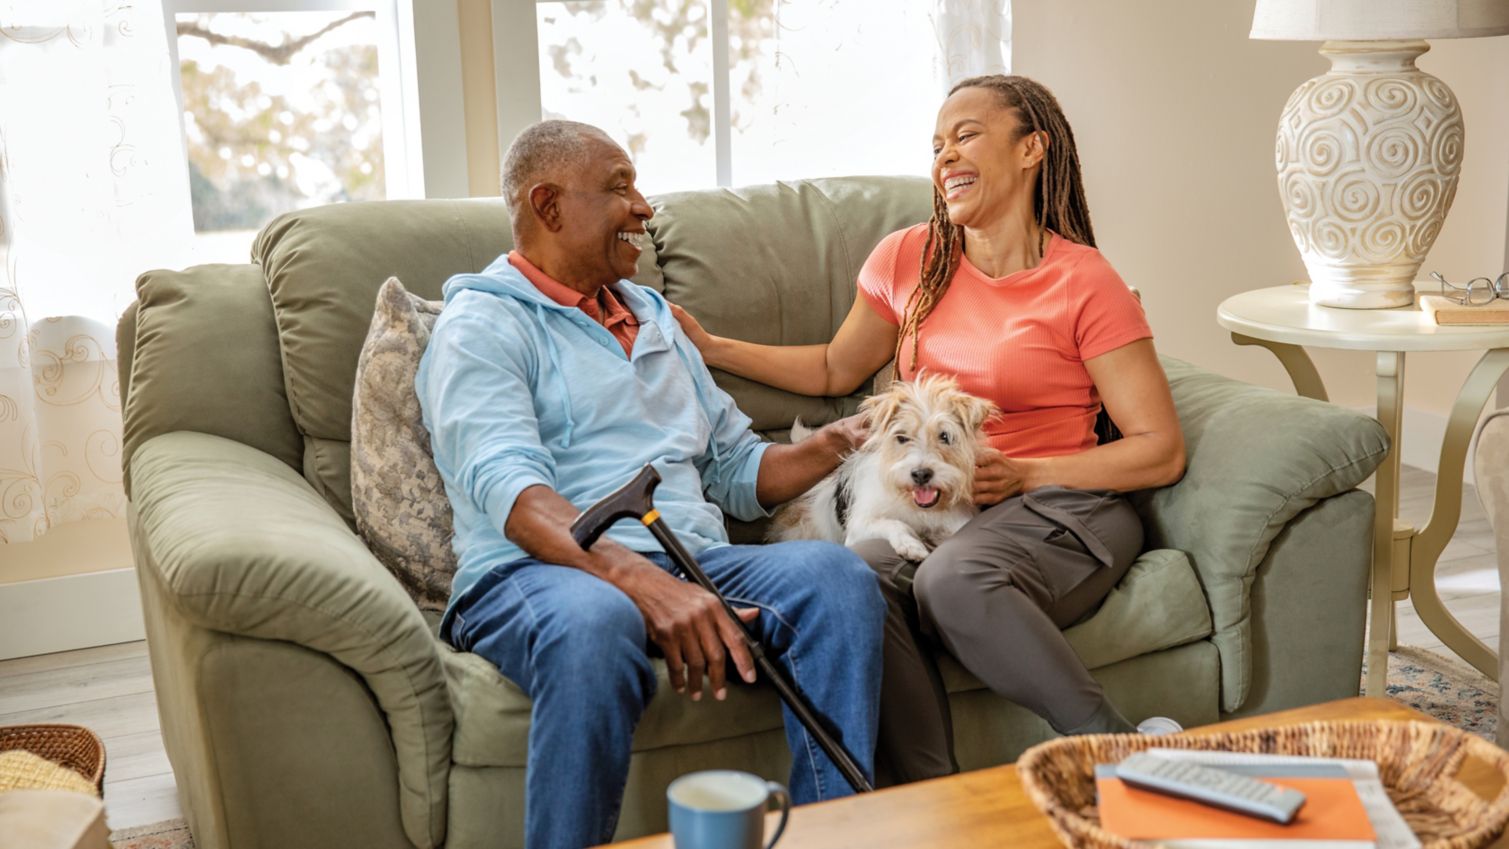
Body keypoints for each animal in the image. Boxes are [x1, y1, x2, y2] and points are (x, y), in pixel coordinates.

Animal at [766, 373, 1001, 560]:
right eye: (902, 437)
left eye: (945, 436)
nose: (920, 474)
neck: (915, 505)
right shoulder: (859, 526)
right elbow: (894, 523)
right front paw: (910, 544)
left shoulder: (957, 520)